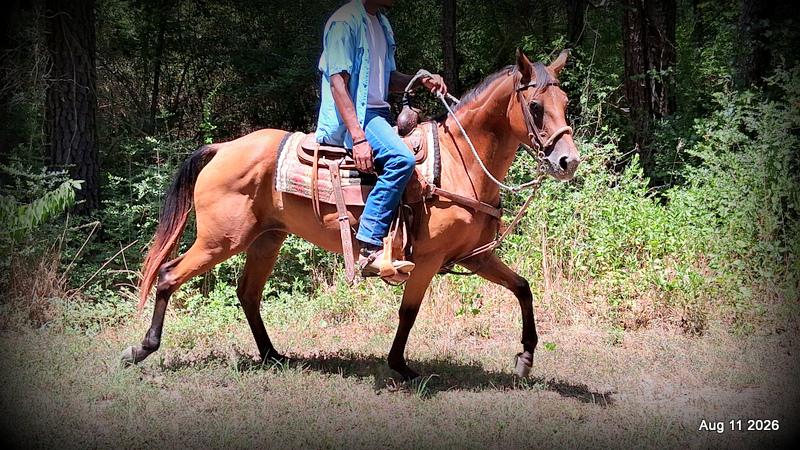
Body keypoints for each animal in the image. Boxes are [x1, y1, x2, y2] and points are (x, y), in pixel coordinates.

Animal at [123, 49, 580, 380]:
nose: (568, 161)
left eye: (565, 102)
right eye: (535, 107)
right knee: (169, 275)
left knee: (248, 293)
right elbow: (409, 311)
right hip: (220, 240)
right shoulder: (428, 259)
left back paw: (272, 355)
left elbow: (523, 288)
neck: (459, 160)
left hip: (266, 239)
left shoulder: (475, 257)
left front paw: (525, 358)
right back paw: (141, 348)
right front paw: (400, 366)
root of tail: (223, 147)